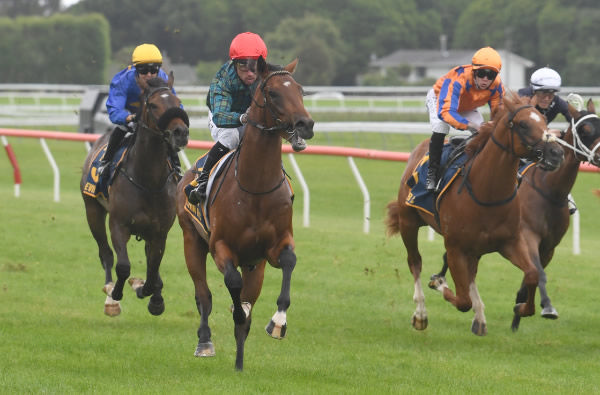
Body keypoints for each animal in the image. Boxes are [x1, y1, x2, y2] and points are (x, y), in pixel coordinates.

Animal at [79, 72, 188, 318]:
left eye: (177, 102)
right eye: (154, 104)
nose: (181, 132)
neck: (148, 181)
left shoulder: (159, 231)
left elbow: (153, 269)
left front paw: (152, 296)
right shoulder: (119, 224)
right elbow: (123, 266)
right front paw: (118, 293)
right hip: (93, 210)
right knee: (106, 254)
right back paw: (110, 293)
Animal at [175, 56, 314, 372]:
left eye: (300, 89)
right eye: (273, 93)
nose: (305, 124)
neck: (256, 187)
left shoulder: (274, 246)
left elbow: (289, 262)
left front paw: (278, 322)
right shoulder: (220, 247)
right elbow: (232, 286)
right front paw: (237, 311)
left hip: (256, 264)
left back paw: (239, 361)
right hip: (191, 240)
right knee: (204, 295)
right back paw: (205, 342)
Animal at [386, 91, 564, 336]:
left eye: (545, 121)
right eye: (523, 124)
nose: (557, 153)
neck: (486, 193)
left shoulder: (510, 242)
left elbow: (532, 274)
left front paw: (520, 308)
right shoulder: (455, 247)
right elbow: (462, 300)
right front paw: (439, 282)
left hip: (475, 248)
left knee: (471, 273)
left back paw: (479, 318)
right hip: (408, 222)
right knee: (415, 261)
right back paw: (421, 314)